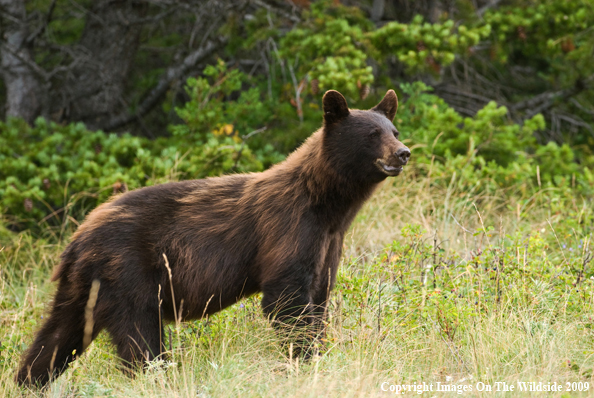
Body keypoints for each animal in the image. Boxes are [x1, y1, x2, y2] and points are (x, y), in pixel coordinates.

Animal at [17, 89, 408, 386]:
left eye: (394, 129)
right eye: (372, 135)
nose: (403, 153)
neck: (327, 204)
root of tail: (78, 238)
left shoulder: (328, 244)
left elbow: (320, 297)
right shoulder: (290, 228)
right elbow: (287, 299)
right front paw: (306, 359)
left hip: (85, 286)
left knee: (58, 334)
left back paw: (28, 381)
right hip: (129, 272)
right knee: (140, 336)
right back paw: (157, 379)